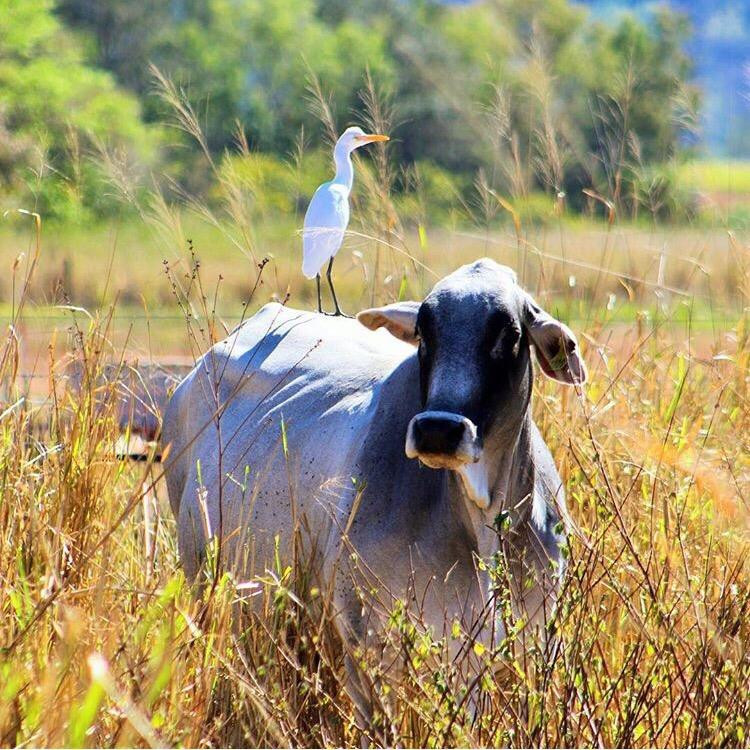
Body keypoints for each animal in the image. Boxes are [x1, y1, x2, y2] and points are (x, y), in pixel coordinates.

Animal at [163, 262, 588, 732]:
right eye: (423, 332)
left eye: (509, 333)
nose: (437, 429)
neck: (483, 520)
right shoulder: (367, 646)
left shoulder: (532, 642)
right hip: (208, 588)